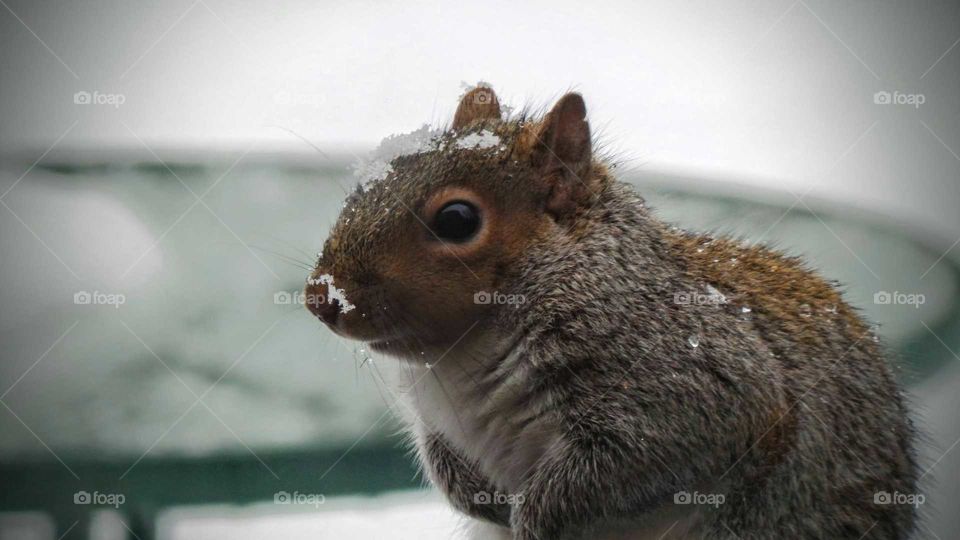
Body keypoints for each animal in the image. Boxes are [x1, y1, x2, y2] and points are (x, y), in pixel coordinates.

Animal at [304, 86, 920, 536]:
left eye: (457, 219)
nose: (320, 297)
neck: (463, 357)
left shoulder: (694, 385)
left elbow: (623, 464)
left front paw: (533, 517)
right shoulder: (439, 420)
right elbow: (443, 459)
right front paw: (479, 499)